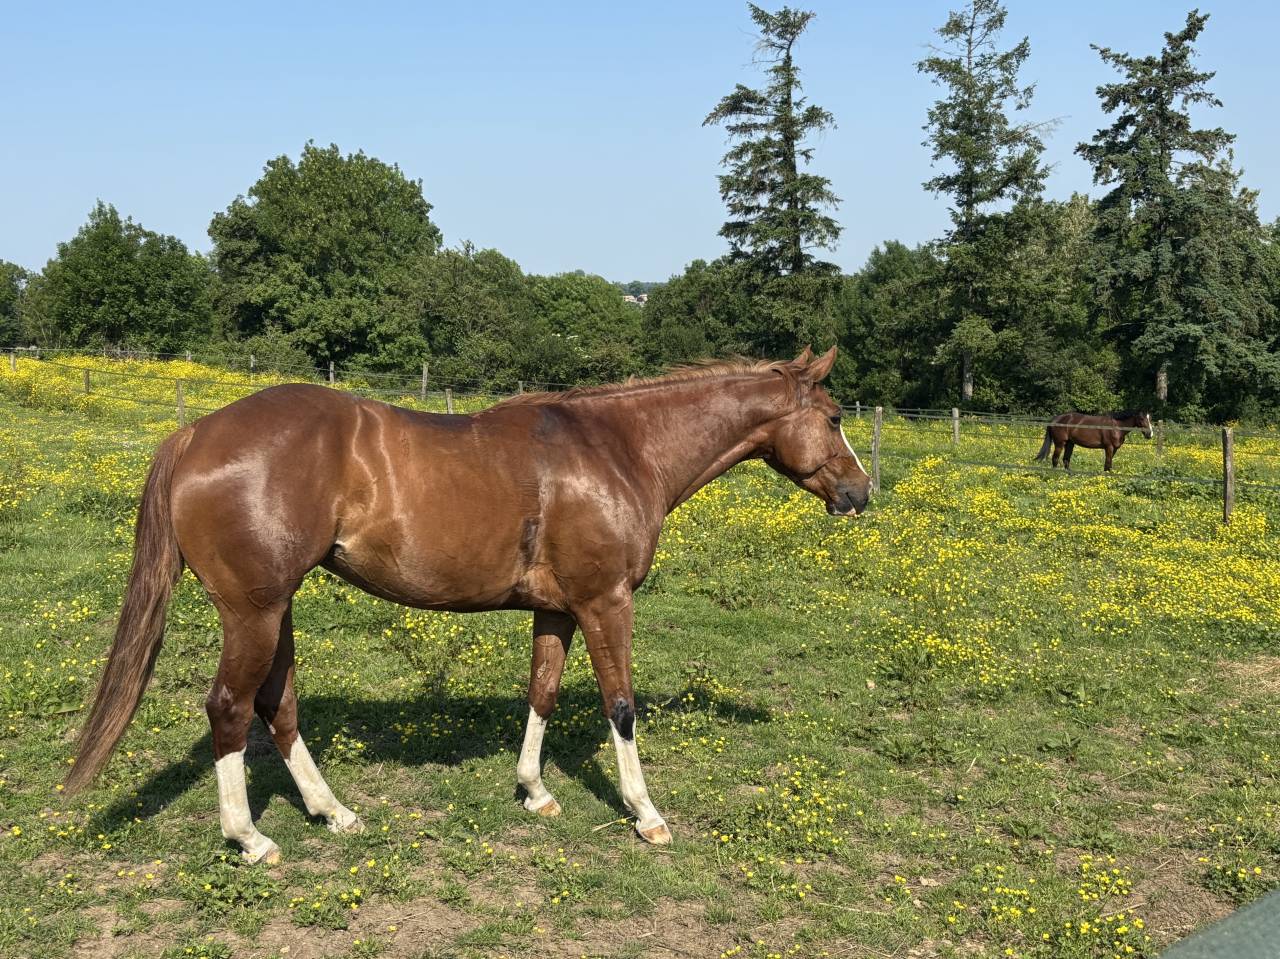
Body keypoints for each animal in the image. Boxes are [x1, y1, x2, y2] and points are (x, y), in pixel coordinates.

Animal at [63, 346, 870, 863]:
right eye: (835, 417)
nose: (861, 491)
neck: (619, 449)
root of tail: (196, 432)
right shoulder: (606, 603)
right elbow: (621, 706)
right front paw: (646, 815)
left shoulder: (558, 609)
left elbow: (542, 692)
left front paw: (535, 791)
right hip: (254, 612)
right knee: (230, 708)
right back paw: (251, 838)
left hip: (275, 610)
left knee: (276, 705)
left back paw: (333, 811)